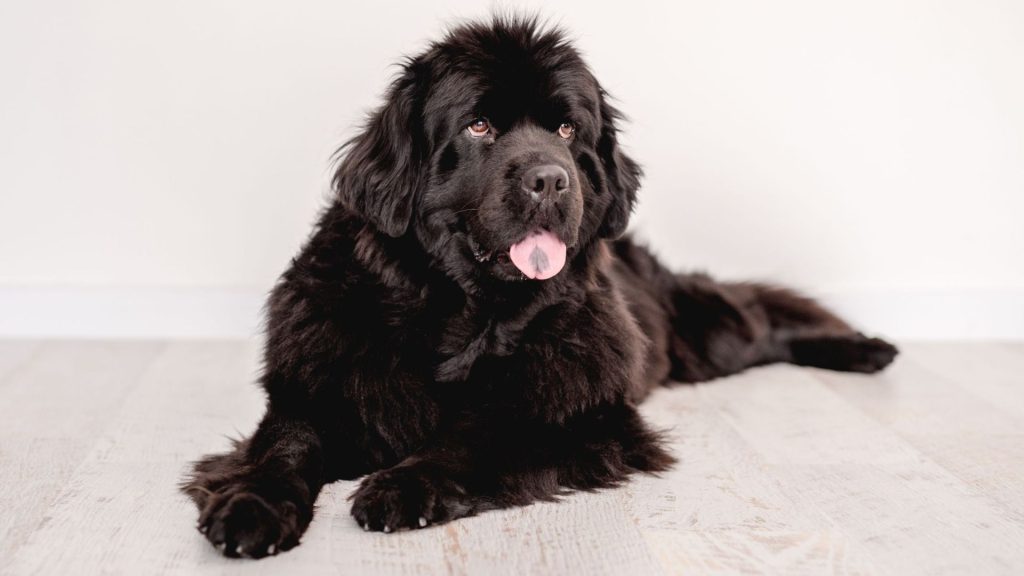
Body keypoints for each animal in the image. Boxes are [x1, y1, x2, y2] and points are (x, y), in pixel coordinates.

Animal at [182, 16, 897, 557]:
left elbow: (479, 434)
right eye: (478, 126)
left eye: (566, 129)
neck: (460, 315)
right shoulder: (317, 389)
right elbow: (284, 447)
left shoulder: (583, 410)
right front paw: (250, 506)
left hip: (703, 338)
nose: (551, 179)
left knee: (760, 318)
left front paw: (402, 486)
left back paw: (866, 348)